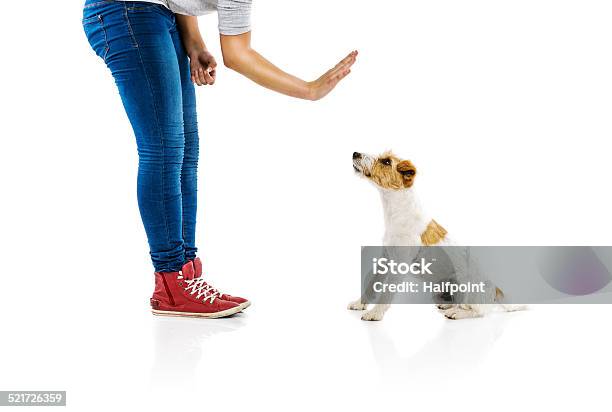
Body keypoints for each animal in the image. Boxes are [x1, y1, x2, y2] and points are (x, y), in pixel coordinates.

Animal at [346, 151, 524, 322]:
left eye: (386, 161)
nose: (355, 153)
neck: (398, 212)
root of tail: (495, 289)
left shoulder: (399, 264)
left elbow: (386, 292)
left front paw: (375, 313)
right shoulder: (385, 258)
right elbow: (372, 284)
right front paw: (359, 303)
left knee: (478, 311)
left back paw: (456, 312)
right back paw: (447, 306)